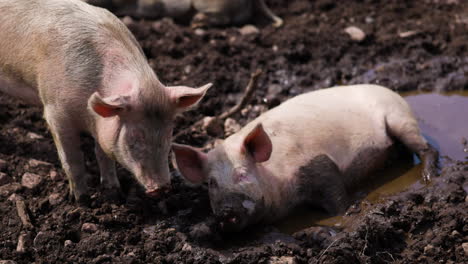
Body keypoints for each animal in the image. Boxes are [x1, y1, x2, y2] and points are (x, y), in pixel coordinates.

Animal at [0, 0, 210, 203]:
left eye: (169, 133)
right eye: (135, 137)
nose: (162, 188)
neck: (89, 116)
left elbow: (103, 154)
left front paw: (114, 193)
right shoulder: (55, 112)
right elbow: (72, 160)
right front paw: (81, 201)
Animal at [173, 84, 438, 231]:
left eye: (242, 174)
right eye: (211, 183)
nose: (226, 209)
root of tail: (392, 91)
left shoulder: (320, 164)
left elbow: (336, 197)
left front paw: (347, 213)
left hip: (400, 119)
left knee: (426, 149)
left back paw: (427, 177)